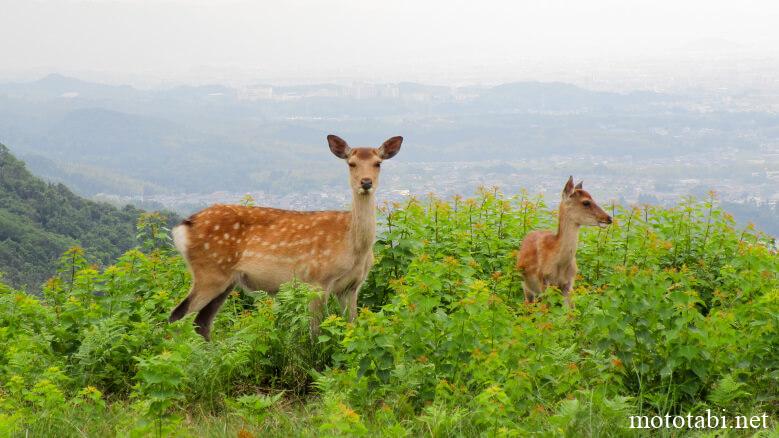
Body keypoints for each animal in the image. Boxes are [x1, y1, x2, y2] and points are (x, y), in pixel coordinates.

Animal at [168, 134, 403, 340]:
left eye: (378, 163)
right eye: (351, 163)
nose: (366, 182)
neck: (354, 247)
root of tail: (182, 227)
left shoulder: (351, 288)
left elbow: (351, 325)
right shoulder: (315, 280)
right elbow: (315, 330)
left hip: (226, 280)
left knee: (201, 323)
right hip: (209, 272)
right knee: (177, 317)